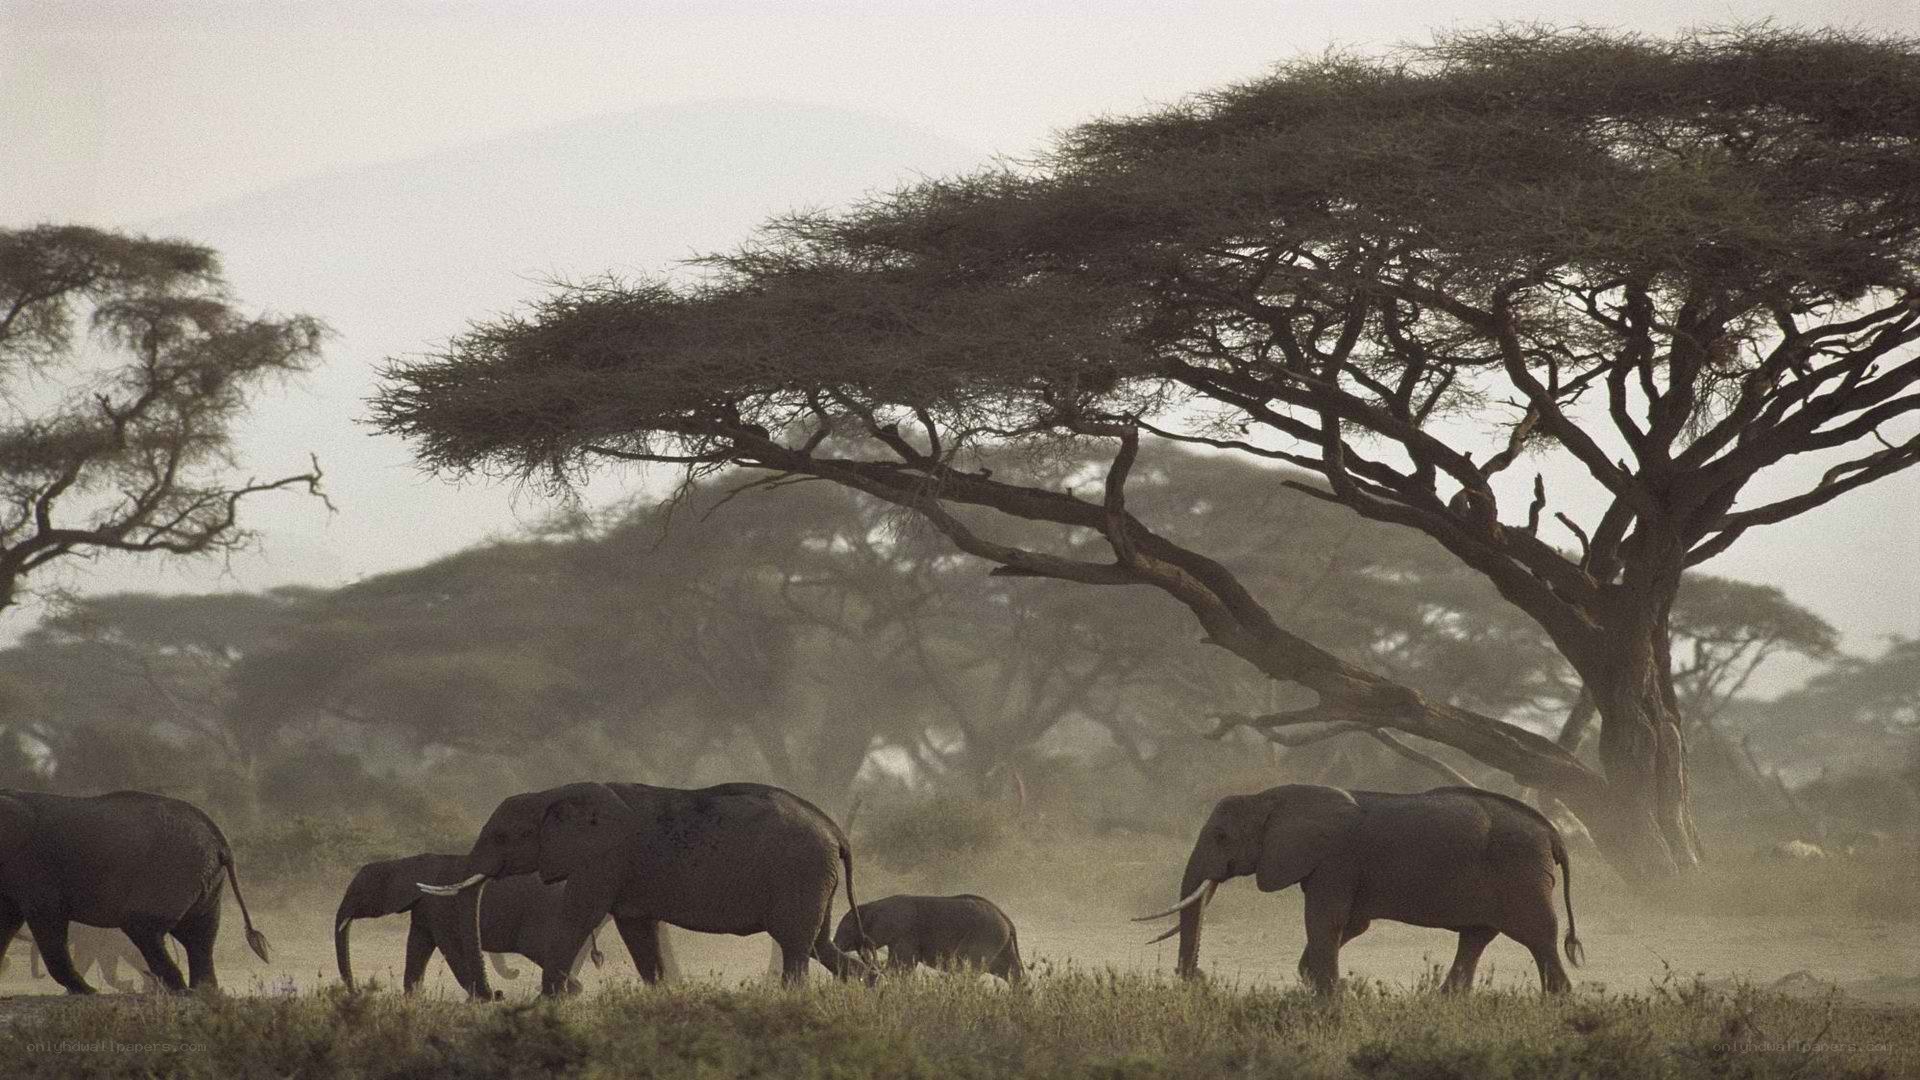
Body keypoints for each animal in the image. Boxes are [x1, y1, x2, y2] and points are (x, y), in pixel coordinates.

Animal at [0, 789, 270, 994]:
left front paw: (89, 993)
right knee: (199, 936)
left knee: (143, 925)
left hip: (173, 871)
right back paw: (201, 992)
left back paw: (179, 992)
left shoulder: (36, 870)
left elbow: (46, 918)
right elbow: (7, 919)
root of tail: (221, 841)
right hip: (206, 879)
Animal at [336, 853, 632, 997]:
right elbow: (418, 947)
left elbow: (449, 947)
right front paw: (413, 1000)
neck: (404, 862)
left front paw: (477, 1001)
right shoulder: (424, 910)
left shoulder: (438, 906)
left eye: (359, 891)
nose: (356, 991)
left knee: (545, 953)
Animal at [420, 781, 871, 992]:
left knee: (796, 945)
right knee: (817, 944)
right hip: (814, 876)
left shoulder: (603, 857)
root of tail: (835, 831)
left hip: (800, 872)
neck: (552, 793)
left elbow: (577, 919)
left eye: (501, 836)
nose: (495, 997)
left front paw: (545, 1004)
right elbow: (637, 930)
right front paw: (664, 994)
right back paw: (873, 988)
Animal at [833, 893, 1024, 984]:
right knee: (1010, 972)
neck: (872, 906)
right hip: (1001, 943)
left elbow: (901, 967)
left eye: (846, 929)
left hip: (987, 937)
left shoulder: (905, 933)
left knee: (970, 970)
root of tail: (1007, 919)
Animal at [1137, 785, 1582, 994]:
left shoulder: (1335, 860)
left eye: (1222, 836)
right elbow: (1349, 925)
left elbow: (1325, 921)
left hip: (1521, 874)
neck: (1269, 797)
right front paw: (1333, 988)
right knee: (1475, 938)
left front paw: (1332, 997)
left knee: (1538, 937)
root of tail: (1553, 833)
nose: (1197, 979)